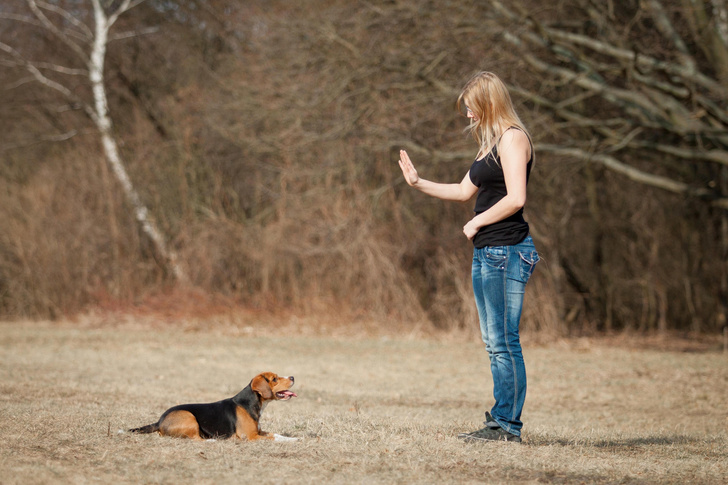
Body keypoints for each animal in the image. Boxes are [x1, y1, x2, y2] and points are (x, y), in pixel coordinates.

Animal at [129, 370, 296, 442]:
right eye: (274, 379)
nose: (293, 377)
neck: (251, 403)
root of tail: (159, 421)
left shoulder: (259, 432)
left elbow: (276, 435)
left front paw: (294, 438)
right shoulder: (250, 436)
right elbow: (273, 438)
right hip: (189, 417)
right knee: (197, 440)